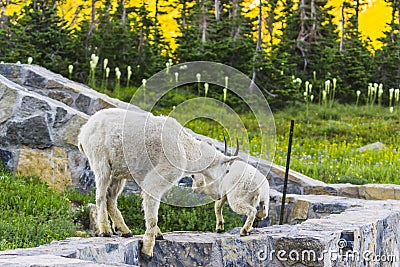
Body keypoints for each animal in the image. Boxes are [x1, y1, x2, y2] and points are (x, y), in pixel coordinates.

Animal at [77, 109, 238, 260]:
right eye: (227, 170)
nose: (219, 195)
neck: (185, 149)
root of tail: (83, 132)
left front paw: (157, 235)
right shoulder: (158, 177)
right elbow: (153, 213)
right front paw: (147, 250)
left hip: (118, 171)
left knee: (110, 197)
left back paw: (125, 231)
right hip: (100, 160)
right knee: (100, 195)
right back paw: (105, 231)